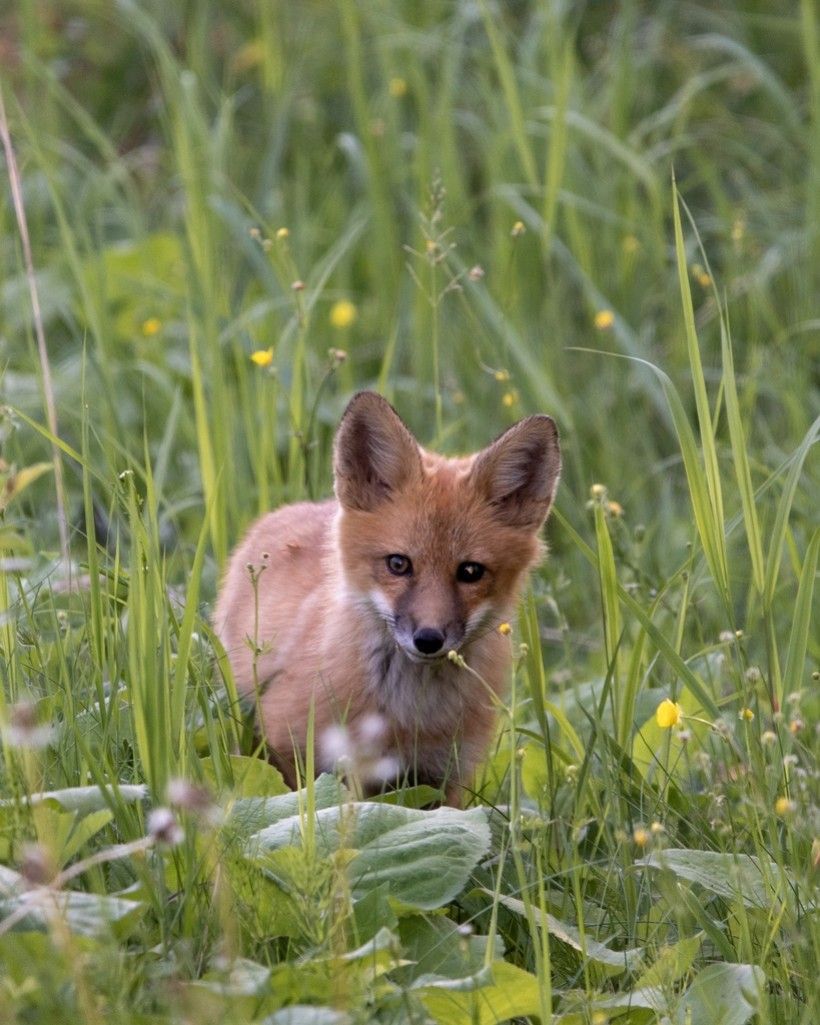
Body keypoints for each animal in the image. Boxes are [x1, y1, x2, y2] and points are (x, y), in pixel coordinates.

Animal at [214, 387, 561, 803]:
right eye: (398, 564)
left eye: (470, 572)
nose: (428, 639)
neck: (409, 717)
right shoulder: (292, 752)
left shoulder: (443, 780)